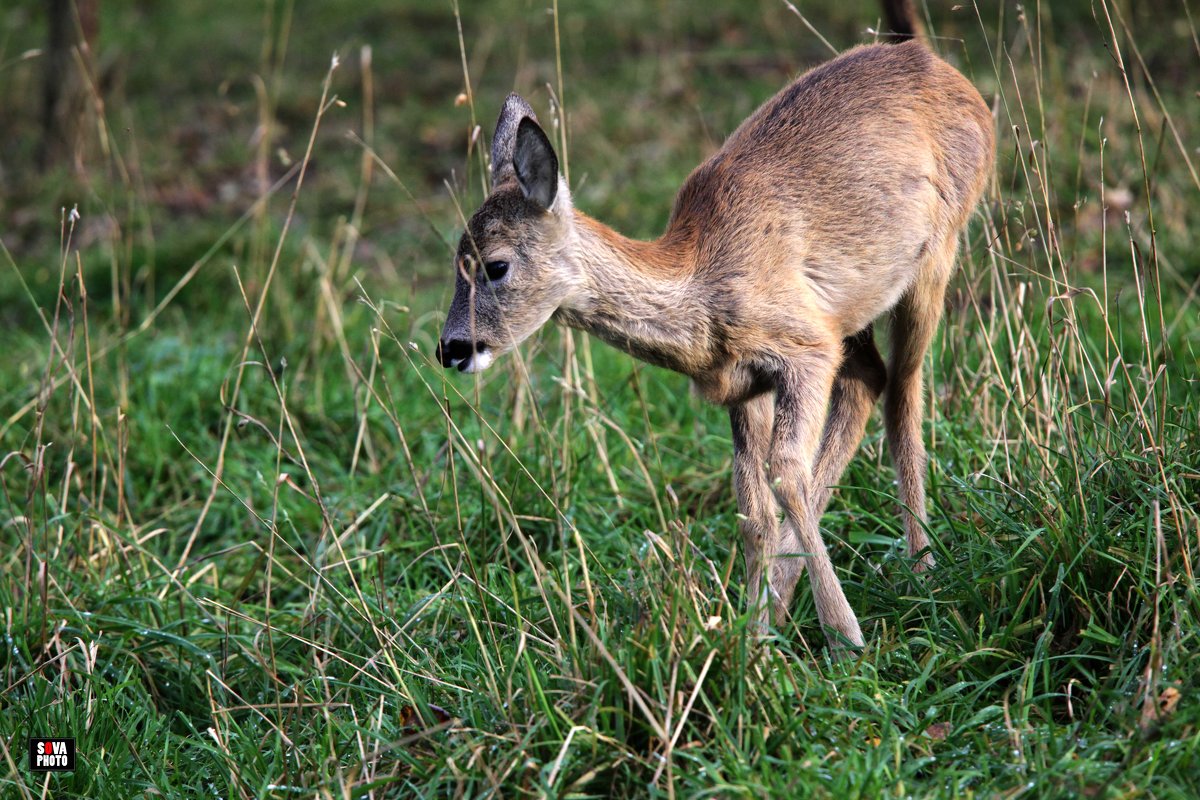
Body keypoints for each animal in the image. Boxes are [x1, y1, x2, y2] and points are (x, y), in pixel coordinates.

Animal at [436, 1, 988, 652]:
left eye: (495, 265)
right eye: (454, 258)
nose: (451, 348)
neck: (701, 285)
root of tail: (936, 63)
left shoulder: (804, 347)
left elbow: (787, 476)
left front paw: (844, 635)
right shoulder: (743, 382)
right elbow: (753, 510)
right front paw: (755, 639)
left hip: (937, 252)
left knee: (904, 393)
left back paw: (923, 568)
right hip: (852, 312)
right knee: (871, 381)